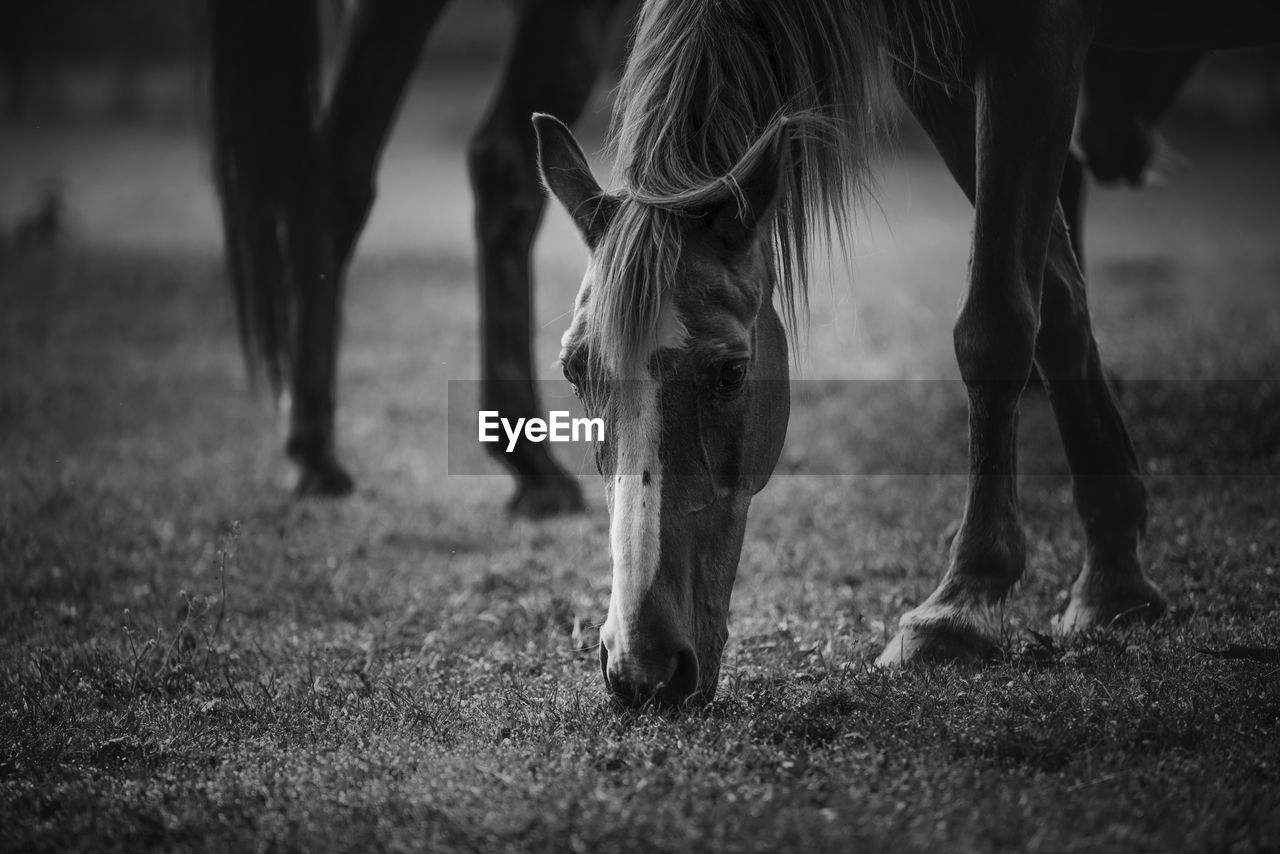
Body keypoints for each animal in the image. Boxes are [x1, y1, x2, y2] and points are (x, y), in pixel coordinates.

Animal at [532, 0, 1280, 706]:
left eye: (730, 372)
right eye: (574, 372)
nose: (642, 668)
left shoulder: (1036, 35)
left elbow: (998, 322)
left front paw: (961, 606)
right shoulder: (936, 71)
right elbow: (1060, 303)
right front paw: (1113, 580)